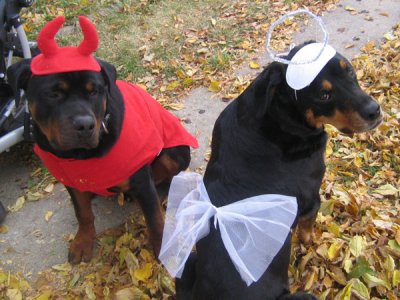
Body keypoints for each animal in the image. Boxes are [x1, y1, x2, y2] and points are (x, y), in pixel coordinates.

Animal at [7, 16, 198, 264]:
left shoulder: (141, 179)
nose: (85, 125)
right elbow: (83, 213)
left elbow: (155, 220)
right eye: (54, 93)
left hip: (175, 152)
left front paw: (163, 249)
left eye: (94, 91)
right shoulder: (71, 179)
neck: (81, 155)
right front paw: (83, 241)